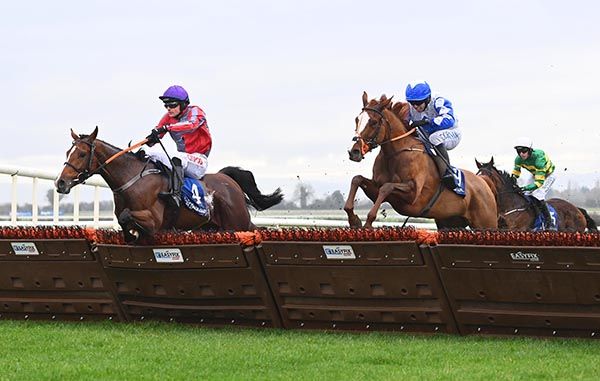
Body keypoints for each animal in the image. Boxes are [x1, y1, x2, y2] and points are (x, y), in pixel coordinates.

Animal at [54, 126, 284, 242]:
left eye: (82, 154)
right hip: (213, 225)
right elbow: (123, 220)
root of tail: (228, 180)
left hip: (237, 222)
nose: (61, 183)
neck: (132, 178)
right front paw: (131, 235)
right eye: (67, 153)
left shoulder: (154, 220)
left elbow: (127, 216)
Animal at [342, 92, 496, 229]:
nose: (354, 152)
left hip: (486, 223)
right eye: (357, 120)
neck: (395, 154)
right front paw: (354, 220)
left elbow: (387, 187)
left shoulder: (413, 195)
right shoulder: (377, 188)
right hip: (451, 222)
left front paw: (368, 223)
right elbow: (357, 179)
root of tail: (484, 183)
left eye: (373, 122)